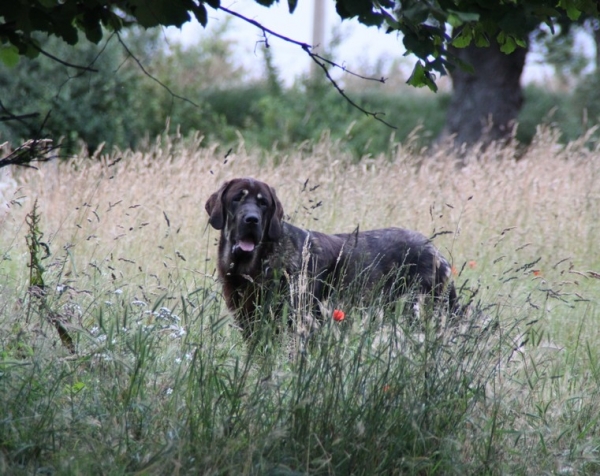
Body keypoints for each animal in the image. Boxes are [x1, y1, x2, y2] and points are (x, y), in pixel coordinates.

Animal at [206, 177, 460, 340]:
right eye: (237, 198)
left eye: (263, 203)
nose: (252, 219)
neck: (253, 265)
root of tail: (437, 253)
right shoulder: (251, 324)